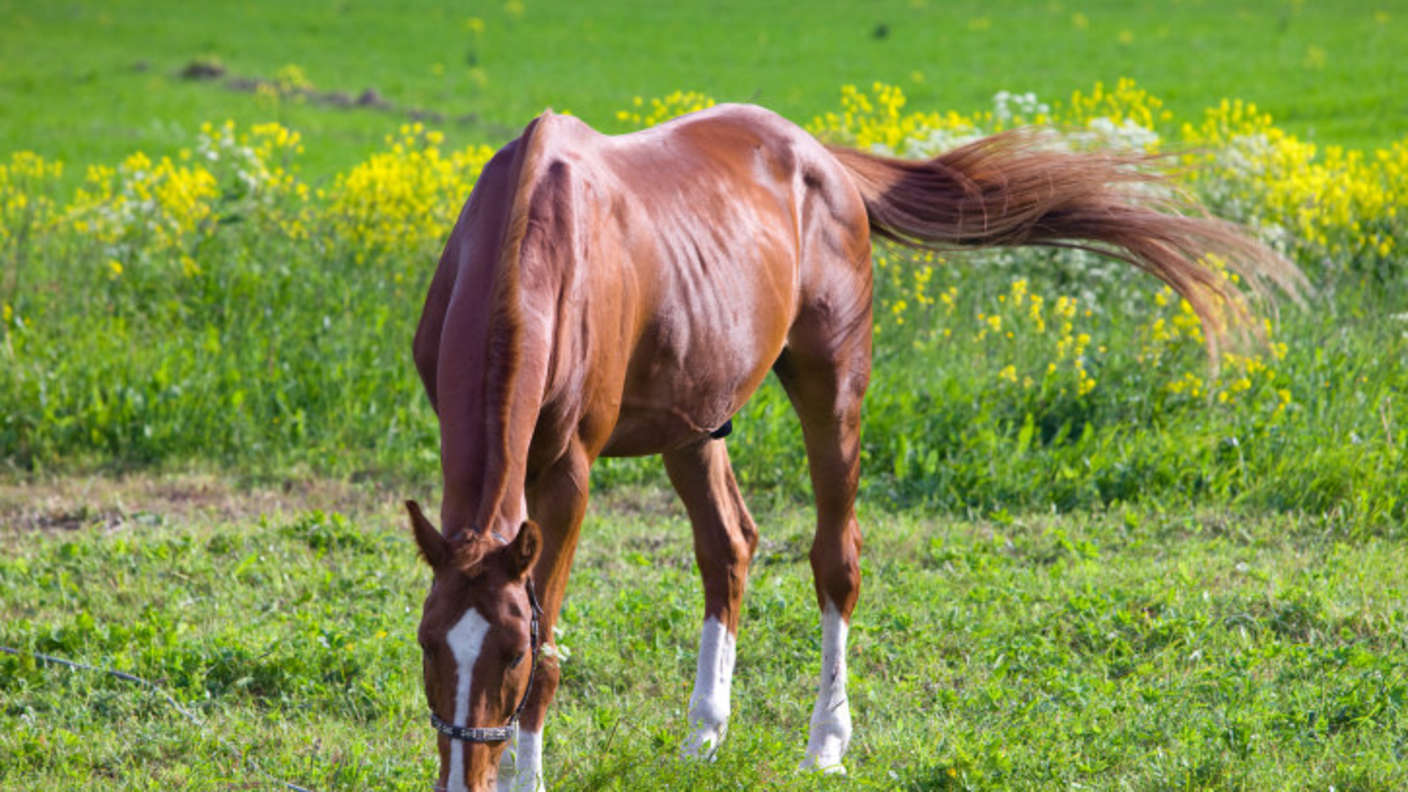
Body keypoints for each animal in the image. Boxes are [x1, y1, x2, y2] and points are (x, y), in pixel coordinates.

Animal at [402, 101, 1300, 783]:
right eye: (427, 646)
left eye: (509, 656)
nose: (465, 773)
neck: (534, 237)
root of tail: (815, 154)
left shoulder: (568, 471)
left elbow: (554, 631)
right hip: (696, 419)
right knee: (728, 547)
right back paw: (704, 734)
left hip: (832, 384)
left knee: (835, 557)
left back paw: (826, 743)